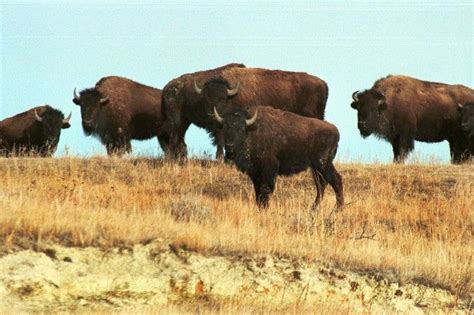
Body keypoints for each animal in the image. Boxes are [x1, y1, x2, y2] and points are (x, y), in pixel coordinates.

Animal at [161, 62, 328, 159]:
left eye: (223, 99)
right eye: (206, 98)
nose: (211, 114)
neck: (232, 94)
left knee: (177, 141)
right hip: (180, 121)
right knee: (176, 141)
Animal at [213, 105, 342, 210]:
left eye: (240, 129)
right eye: (225, 128)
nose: (230, 148)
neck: (251, 131)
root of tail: (335, 130)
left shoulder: (268, 170)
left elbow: (265, 189)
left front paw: (265, 208)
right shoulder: (255, 173)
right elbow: (257, 191)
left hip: (323, 165)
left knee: (335, 181)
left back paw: (338, 208)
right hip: (316, 168)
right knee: (322, 185)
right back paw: (314, 208)